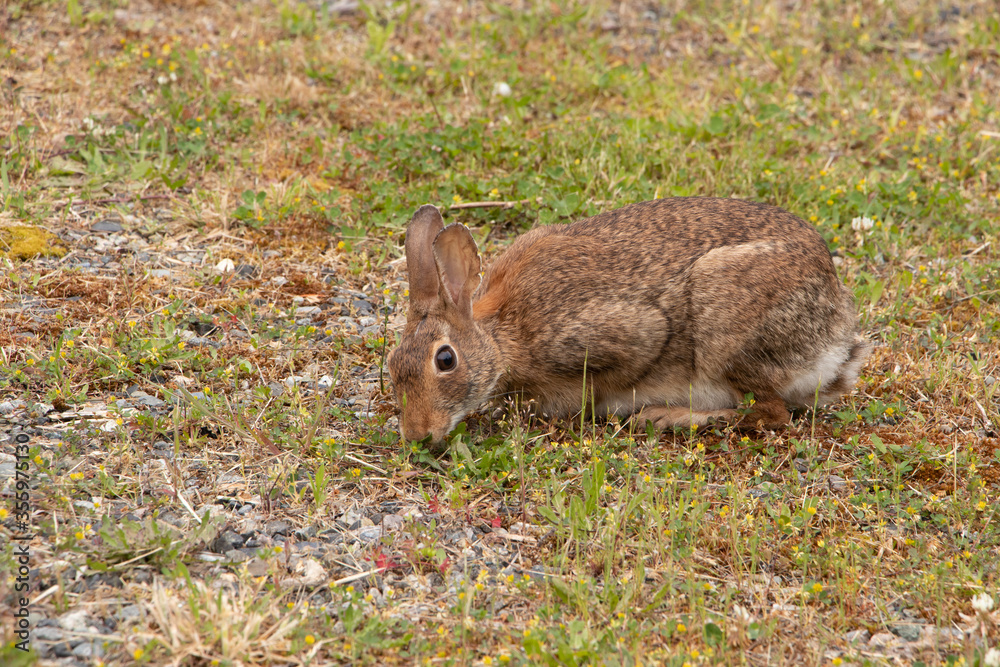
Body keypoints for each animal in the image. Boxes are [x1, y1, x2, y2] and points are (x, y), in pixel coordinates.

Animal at [386, 197, 868, 444]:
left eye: (445, 360)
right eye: (391, 366)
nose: (416, 435)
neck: (501, 336)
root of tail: (836, 344)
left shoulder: (626, 334)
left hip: (725, 325)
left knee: (768, 412)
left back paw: (666, 417)